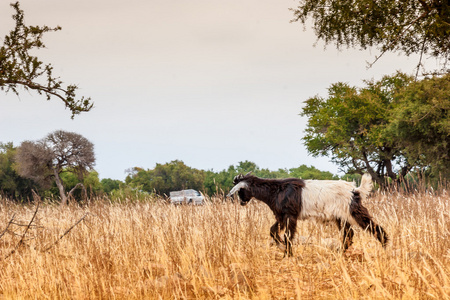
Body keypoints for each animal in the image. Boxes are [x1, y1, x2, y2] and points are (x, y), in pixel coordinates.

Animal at [227, 173, 388, 255]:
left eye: (240, 191)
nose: (242, 202)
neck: (276, 190)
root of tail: (355, 190)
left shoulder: (290, 215)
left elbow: (288, 235)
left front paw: (288, 253)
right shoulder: (281, 216)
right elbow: (272, 231)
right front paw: (281, 246)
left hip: (352, 211)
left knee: (371, 226)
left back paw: (385, 246)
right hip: (340, 217)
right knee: (348, 234)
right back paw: (340, 252)